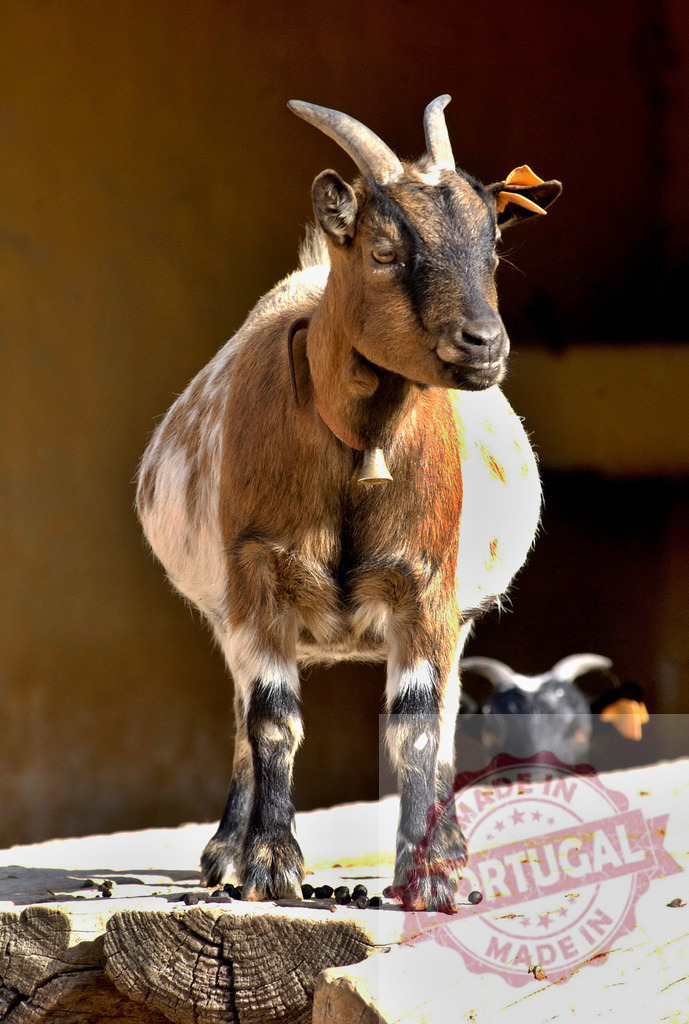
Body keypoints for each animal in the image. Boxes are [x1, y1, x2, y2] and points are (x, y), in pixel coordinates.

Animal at [136, 96, 562, 912]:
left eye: (493, 249)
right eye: (385, 252)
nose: (483, 343)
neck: (358, 451)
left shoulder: (426, 586)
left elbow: (417, 728)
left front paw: (431, 874)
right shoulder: (256, 576)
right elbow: (272, 721)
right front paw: (269, 864)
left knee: (449, 714)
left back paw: (451, 846)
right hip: (227, 613)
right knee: (241, 715)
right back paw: (225, 852)